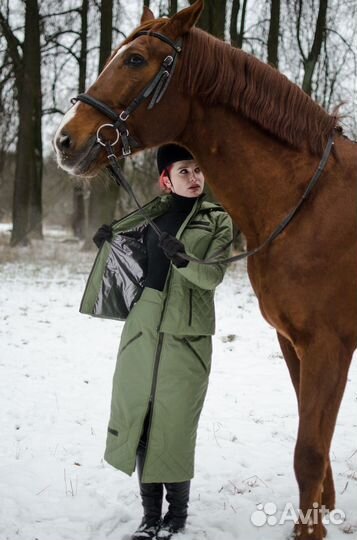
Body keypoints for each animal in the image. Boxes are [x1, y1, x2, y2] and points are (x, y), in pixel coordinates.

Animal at [52, 2, 356, 536]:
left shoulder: (328, 344)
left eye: (134, 59)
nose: (66, 141)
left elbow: (309, 451)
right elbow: (315, 441)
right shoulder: (295, 343)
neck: (308, 202)